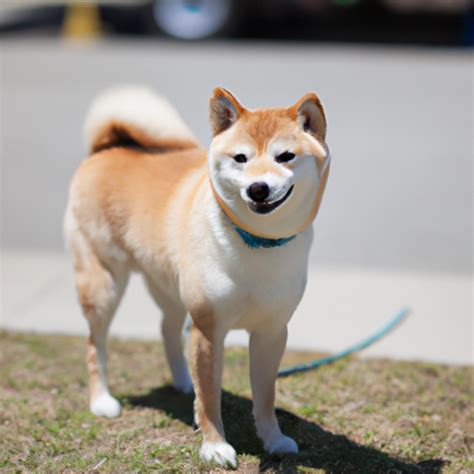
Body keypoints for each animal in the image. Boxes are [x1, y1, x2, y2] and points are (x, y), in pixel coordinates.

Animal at [64, 85, 330, 466]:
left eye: (285, 156)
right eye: (240, 159)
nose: (258, 188)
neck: (257, 243)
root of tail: (107, 145)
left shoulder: (272, 331)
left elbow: (265, 396)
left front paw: (273, 439)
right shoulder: (208, 328)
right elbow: (209, 397)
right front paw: (214, 446)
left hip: (169, 283)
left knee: (167, 327)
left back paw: (181, 380)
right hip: (104, 284)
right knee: (94, 344)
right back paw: (102, 400)